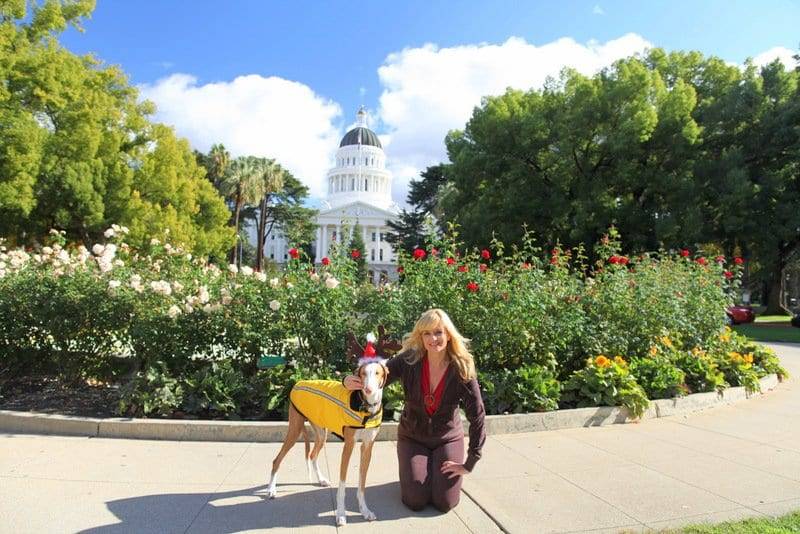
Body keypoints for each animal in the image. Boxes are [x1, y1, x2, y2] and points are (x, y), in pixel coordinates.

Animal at [266, 330, 396, 528]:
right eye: (363, 373)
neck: (366, 407)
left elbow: (362, 484)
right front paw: (341, 514)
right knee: (277, 460)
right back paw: (271, 489)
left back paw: (320, 480)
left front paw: (365, 511)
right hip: (295, 430)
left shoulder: (367, 447)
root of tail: (298, 382)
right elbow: (342, 484)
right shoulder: (348, 445)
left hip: (321, 434)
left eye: (377, 373)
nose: (368, 389)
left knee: (312, 455)